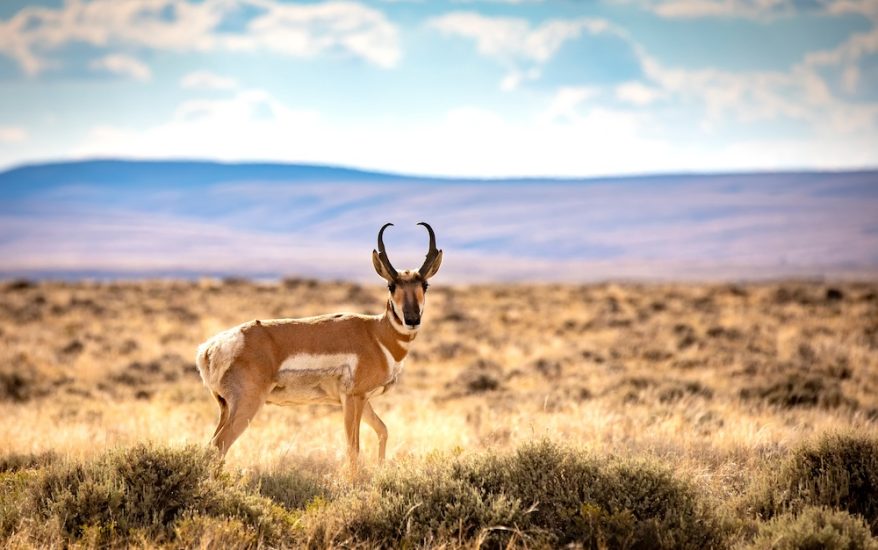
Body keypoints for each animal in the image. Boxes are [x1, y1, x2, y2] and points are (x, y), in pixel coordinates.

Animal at [195, 222, 442, 468]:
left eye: (425, 285)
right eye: (391, 285)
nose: (412, 319)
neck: (376, 334)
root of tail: (209, 348)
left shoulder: (362, 399)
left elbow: (383, 430)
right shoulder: (353, 398)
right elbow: (353, 449)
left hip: (226, 408)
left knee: (211, 446)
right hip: (248, 404)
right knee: (219, 445)